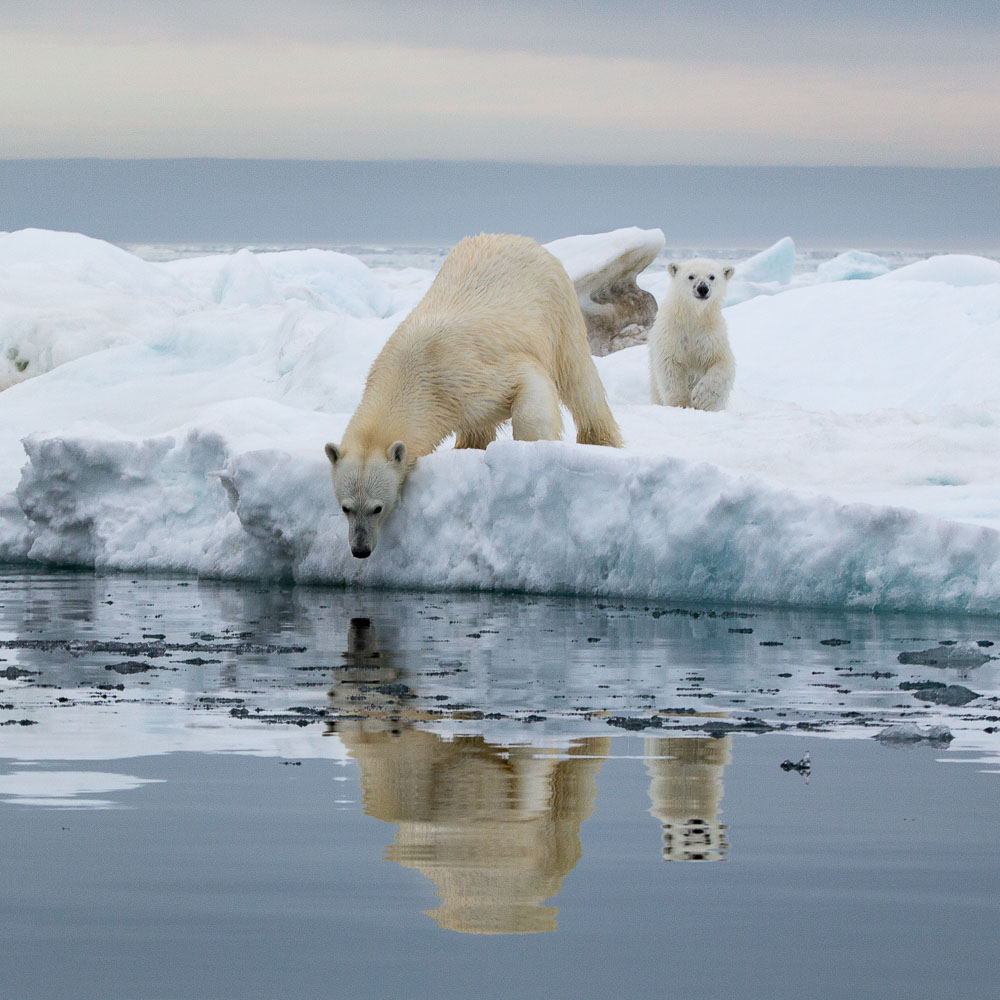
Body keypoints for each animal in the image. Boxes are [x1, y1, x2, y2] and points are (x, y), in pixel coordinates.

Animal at [328, 236, 620, 564]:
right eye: (346, 507)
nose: (360, 550)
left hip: (557, 306)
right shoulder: (449, 391)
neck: (411, 369)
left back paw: (601, 439)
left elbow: (529, 381)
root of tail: (519, 240)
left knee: (578, 377)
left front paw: (532, 452)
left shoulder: (468, 369)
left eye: (377, 507)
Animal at [648, 262, 736, 414]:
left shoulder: (710, 335)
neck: (693, 316)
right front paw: (680, 403)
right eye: (691, 276)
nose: (703, 288)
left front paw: (702, 399)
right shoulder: (672, 333)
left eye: (712, 276)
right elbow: (670, 366)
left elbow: (721, 362)